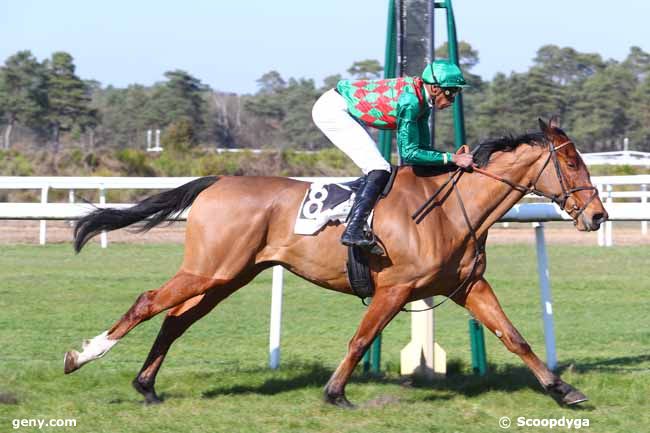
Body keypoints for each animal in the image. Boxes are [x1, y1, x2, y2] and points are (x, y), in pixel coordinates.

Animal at [63, 117, 604, 404]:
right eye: (571, 161)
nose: (598, 215)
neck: (450, 210)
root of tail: (217, 181)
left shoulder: (467, 287)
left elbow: (514, 336)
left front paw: (563, 390)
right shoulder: (395, 288)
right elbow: (361, 338)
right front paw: (335, 392)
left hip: (227, 277)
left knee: (175, 319)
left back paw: (147, 385)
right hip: (209, 269)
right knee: (148, 301)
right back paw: (83, 356)